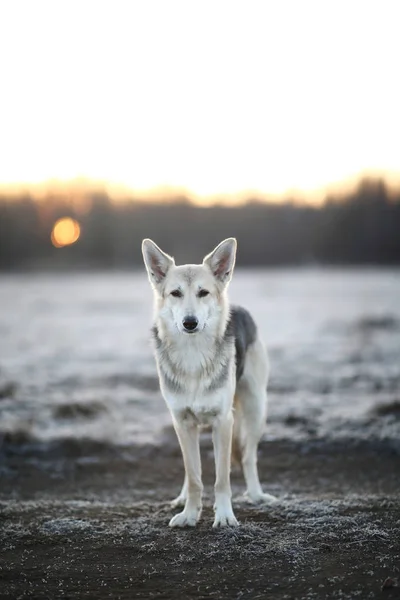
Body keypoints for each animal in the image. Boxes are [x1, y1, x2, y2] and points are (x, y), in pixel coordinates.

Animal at [141, 237, 276, 528]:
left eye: (203, 292)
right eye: (175, 293)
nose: (189, 322)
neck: (193, 356)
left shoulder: (223, 422)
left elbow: (221, 479)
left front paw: (224, 515)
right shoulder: (182, 421)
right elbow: (194, 477)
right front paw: (190, 513)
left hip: (256, 410)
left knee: (248, 457)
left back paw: (256, 495)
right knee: (191, 469)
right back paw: (181, 498)